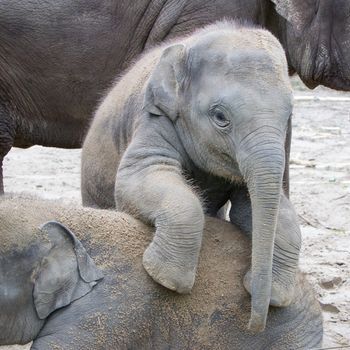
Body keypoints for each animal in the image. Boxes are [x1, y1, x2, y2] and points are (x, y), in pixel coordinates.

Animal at [80, 21, 302, 330]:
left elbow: (265, 208)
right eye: (220, 116)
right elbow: (139, 176)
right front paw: (166, 278)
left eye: (289, 117)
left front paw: (277, 296)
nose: (253, 326)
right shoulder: (154, 116)